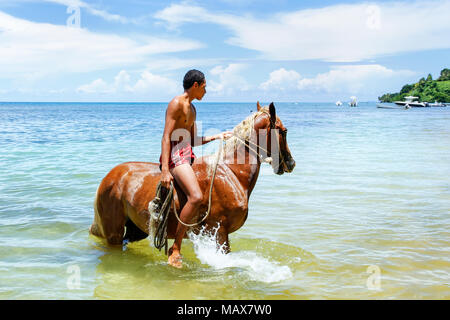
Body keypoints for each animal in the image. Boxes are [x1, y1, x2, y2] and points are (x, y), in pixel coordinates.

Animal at [89, 101, 298, 251]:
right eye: (284, 131)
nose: (291, 163)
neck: (232, 173)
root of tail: (109, 177)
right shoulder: (220, 232)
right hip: (113, 232)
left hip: (135, 229)